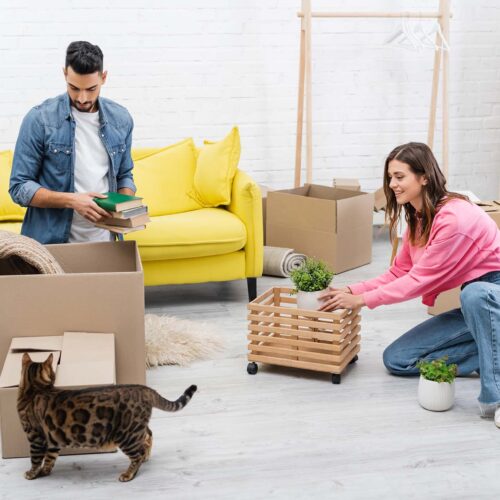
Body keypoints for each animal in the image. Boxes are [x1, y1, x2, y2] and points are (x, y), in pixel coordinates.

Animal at [17, 350, 197, 482]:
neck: (35, 388)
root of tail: (144, 388)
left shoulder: (35, 437)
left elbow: (35, 459)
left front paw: (32, 473)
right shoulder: (52, 437)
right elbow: (50, 458)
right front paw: (45, 471)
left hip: (126, 435)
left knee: (137, 454)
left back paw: (128, 474)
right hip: (136, 428)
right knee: (149, 436)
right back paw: (146, 456)